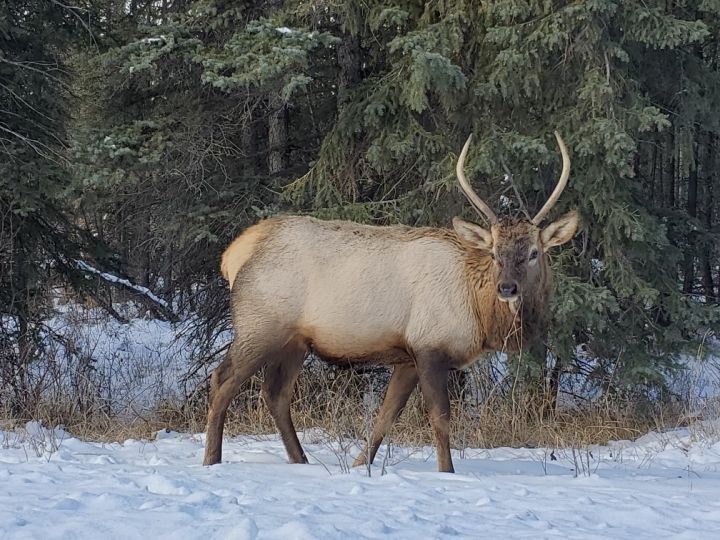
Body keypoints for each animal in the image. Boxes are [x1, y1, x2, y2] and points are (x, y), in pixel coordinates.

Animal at [202, 132, 580, 472]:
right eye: (494, 253)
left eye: (533, 253)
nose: (507, 288)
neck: (479, 314)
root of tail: (234, 254)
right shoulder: (429, 346)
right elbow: (440, 419)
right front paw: (447, 471)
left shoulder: (408, 358)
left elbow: (386, 415)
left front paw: (359, 465)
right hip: (259, 325)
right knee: (223, 380)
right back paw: (211, 459)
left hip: (294, 340)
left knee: (275, 394)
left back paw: (302, 461)